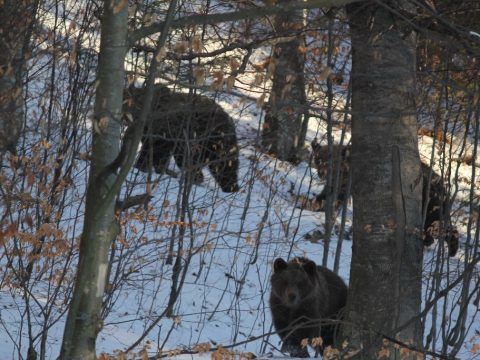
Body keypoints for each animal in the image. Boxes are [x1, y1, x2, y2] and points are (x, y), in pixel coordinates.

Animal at [310, 141, 460, 256]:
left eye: (328, 161)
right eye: (318, 159)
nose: (321, 173)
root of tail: (444, 187)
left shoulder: (346, 183)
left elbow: (336, 196)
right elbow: (328, 194)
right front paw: (316, 203)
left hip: (429, 205)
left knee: (438, 226)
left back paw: (446, 245)